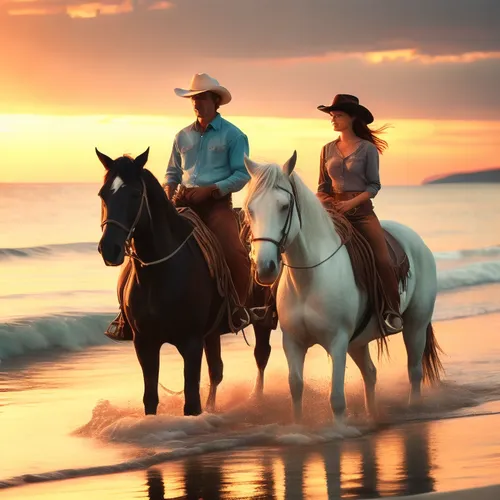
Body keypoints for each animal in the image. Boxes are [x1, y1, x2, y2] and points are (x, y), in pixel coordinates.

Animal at [95, 147, 276, 414]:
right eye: (103, 194)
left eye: (136, 194)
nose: (110, 249)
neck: (159, 275)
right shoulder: (144, 343)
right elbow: (150, 399)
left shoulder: (191, 342)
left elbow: (191, 401)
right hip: (212, 332)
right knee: (217, 371)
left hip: (263, 318)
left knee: (261, 356)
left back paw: (258, 399)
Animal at [242, 151, 442, 422]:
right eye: (250, 209)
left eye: (284, 207)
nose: (265, 267)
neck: (309, 278)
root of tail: (417, 241)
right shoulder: (293, 342)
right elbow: (296, 388)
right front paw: (299, 425)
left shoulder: (337, 342)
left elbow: (336, 398)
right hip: (358, 342)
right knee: (370, 373)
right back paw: (373, 415)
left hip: (415, 325)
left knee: (414, 371)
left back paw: (413, 409)